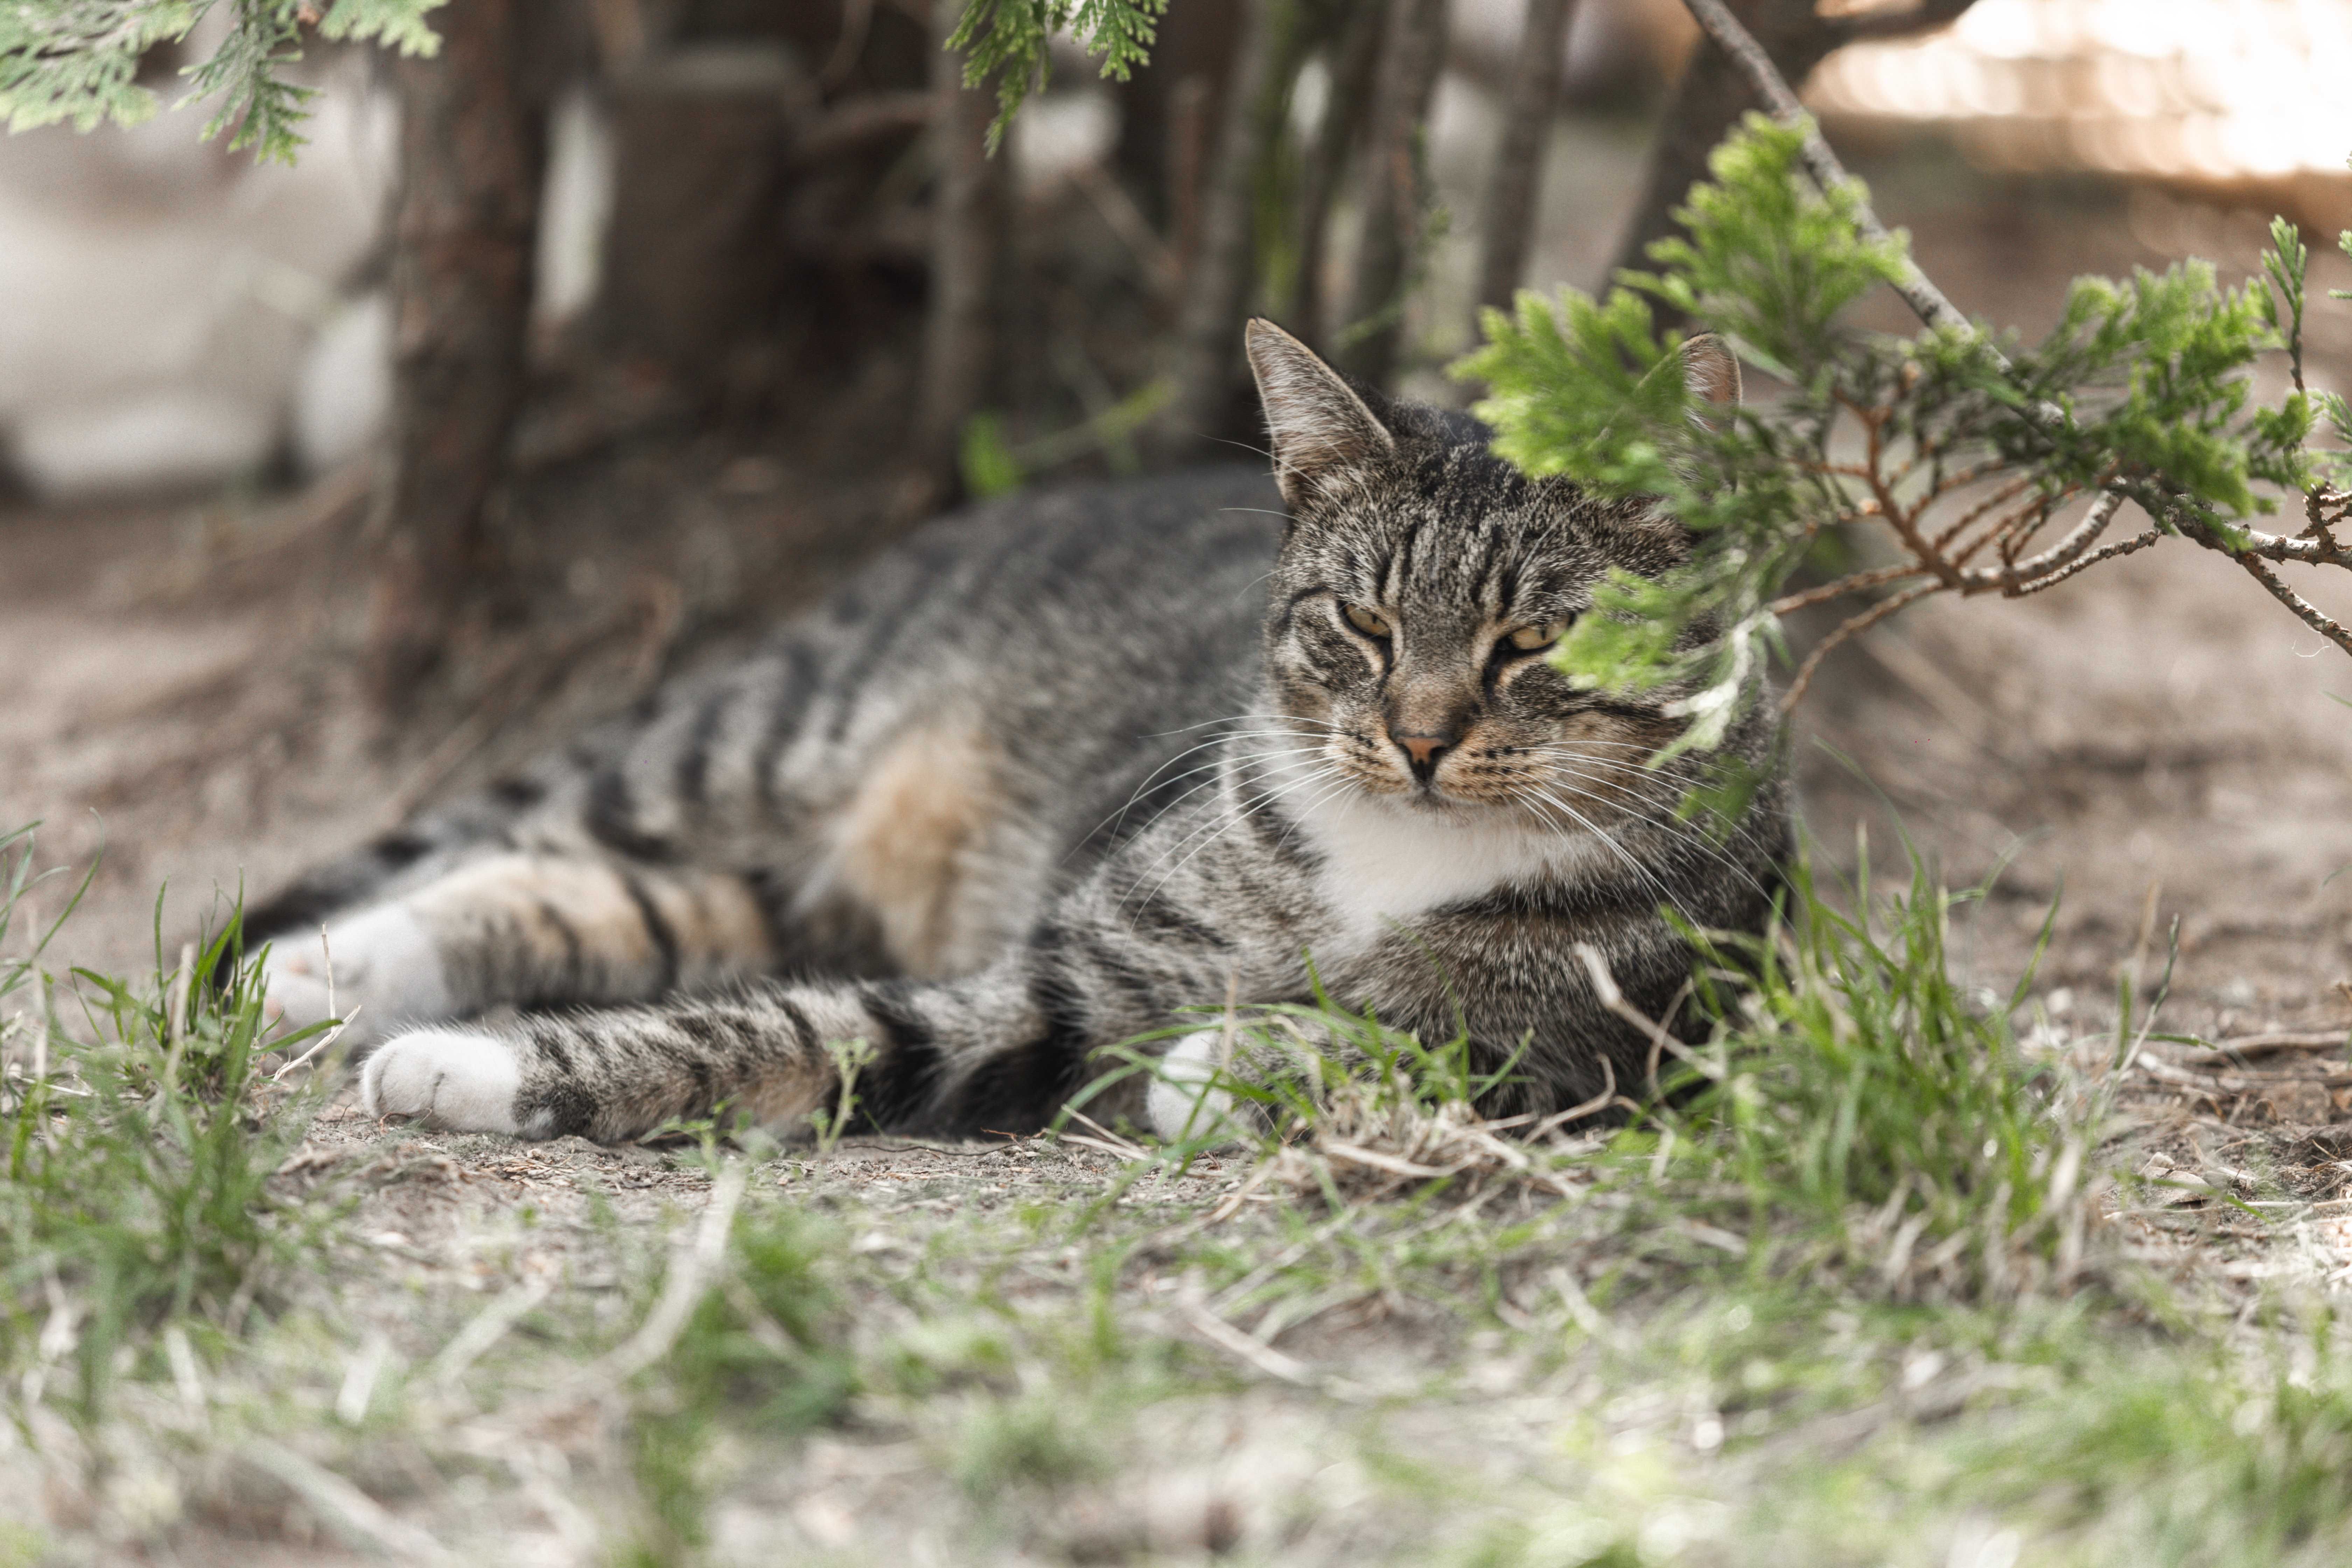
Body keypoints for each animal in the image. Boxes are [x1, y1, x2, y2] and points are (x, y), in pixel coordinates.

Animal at [248, 329, 1778, 1142]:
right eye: (1364, 621)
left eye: (1535, 645)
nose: (1416, 740)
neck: (1391, 850)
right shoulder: (1055, 983)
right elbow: (796, 1026)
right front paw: (477, 1064)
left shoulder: (1618, 1060)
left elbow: (1442, 1046)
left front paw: (1240, 1060)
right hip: (756, 741)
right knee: (532, 845)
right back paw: (317, 966)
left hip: (806, 879)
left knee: (615, 901)